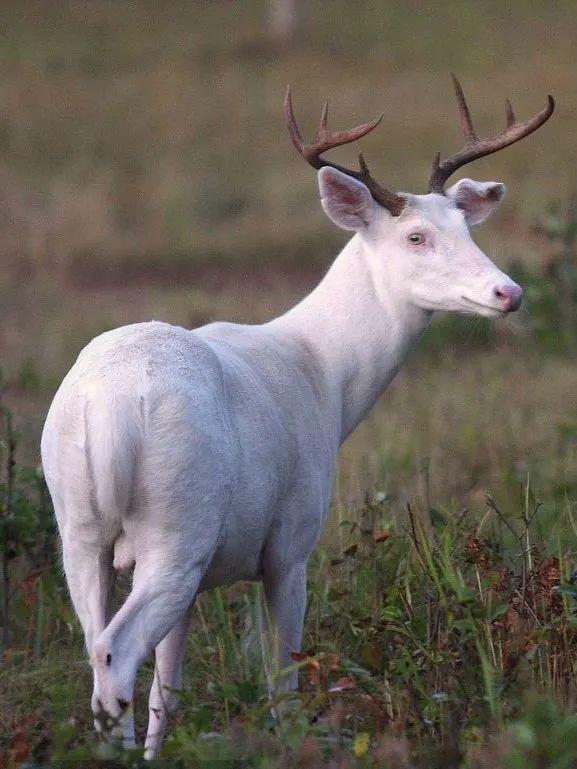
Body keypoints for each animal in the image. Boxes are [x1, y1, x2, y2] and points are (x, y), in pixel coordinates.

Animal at [41, 78, 552, 756]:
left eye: (468, 228)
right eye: (415, 237)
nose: (508, 292)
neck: (324, 379)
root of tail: (109, 408)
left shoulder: (208, 576)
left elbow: (166, 692)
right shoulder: (290, 544)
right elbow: (282, 685)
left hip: (80, 528)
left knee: (99, 658)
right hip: (179, 526)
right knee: (114, 654)